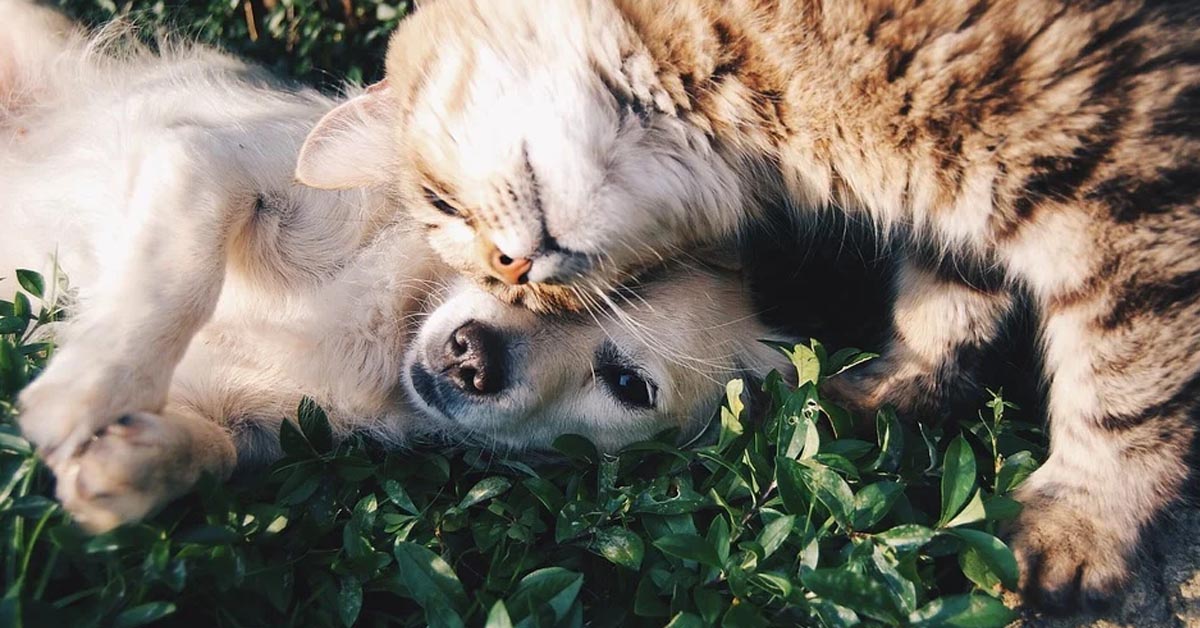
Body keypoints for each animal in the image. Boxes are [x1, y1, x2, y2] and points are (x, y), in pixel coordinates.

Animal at [295, 0, 1200, 614]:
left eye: (442, 204)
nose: (513, 272)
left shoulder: (1127, 183)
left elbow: (1126, 385)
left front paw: (1083, 525)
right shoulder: (960, 204)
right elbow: (943, 305)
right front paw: (889, 392)